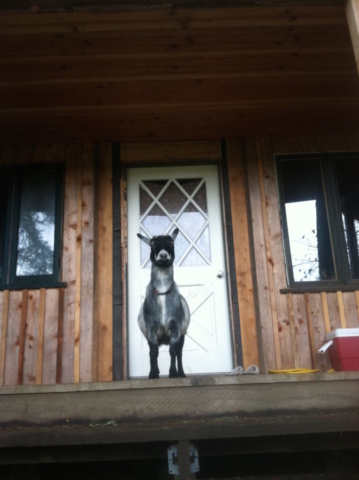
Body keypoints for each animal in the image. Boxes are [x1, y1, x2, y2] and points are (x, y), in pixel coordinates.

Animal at [136, 229, 191, 378]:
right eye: (152, 244)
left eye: (171, 242)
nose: (163, 255)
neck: (162, 293)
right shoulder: (151, 329)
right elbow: (153, 352)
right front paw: (153, 374)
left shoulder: (176, 328)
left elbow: (173, 352)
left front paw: (173, 373)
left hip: (183, 334)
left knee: (179, 353)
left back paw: (181, 373)